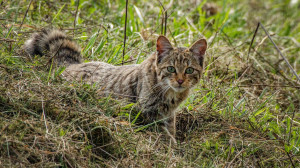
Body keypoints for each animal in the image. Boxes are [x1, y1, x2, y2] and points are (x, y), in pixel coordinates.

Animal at [24, 29, 206, 142]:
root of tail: (69, 65)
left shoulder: (168, 116)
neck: (170, 95)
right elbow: (163, 136)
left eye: (189, 70)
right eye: (171, 69)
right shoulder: (147, 113)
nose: (180, 81)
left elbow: (170, 131)